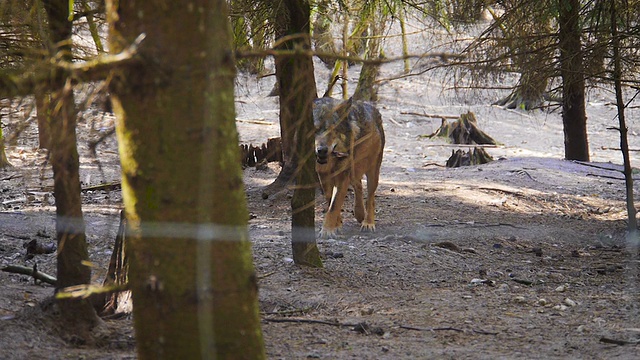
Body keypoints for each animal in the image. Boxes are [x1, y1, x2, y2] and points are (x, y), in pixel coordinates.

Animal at [314, 95, 384, 238]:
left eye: (333, 130)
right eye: (314, 130)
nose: (322, 150)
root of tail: (371, 105)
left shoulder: (342, 177)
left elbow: (334, 205)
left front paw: (327, 231)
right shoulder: (323, 176)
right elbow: (330, 201)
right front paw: (337, 225)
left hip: (372, 172)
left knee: (370, 197)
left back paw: (368, 223)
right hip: (353, 171)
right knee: (358, 186)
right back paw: (359, 214)